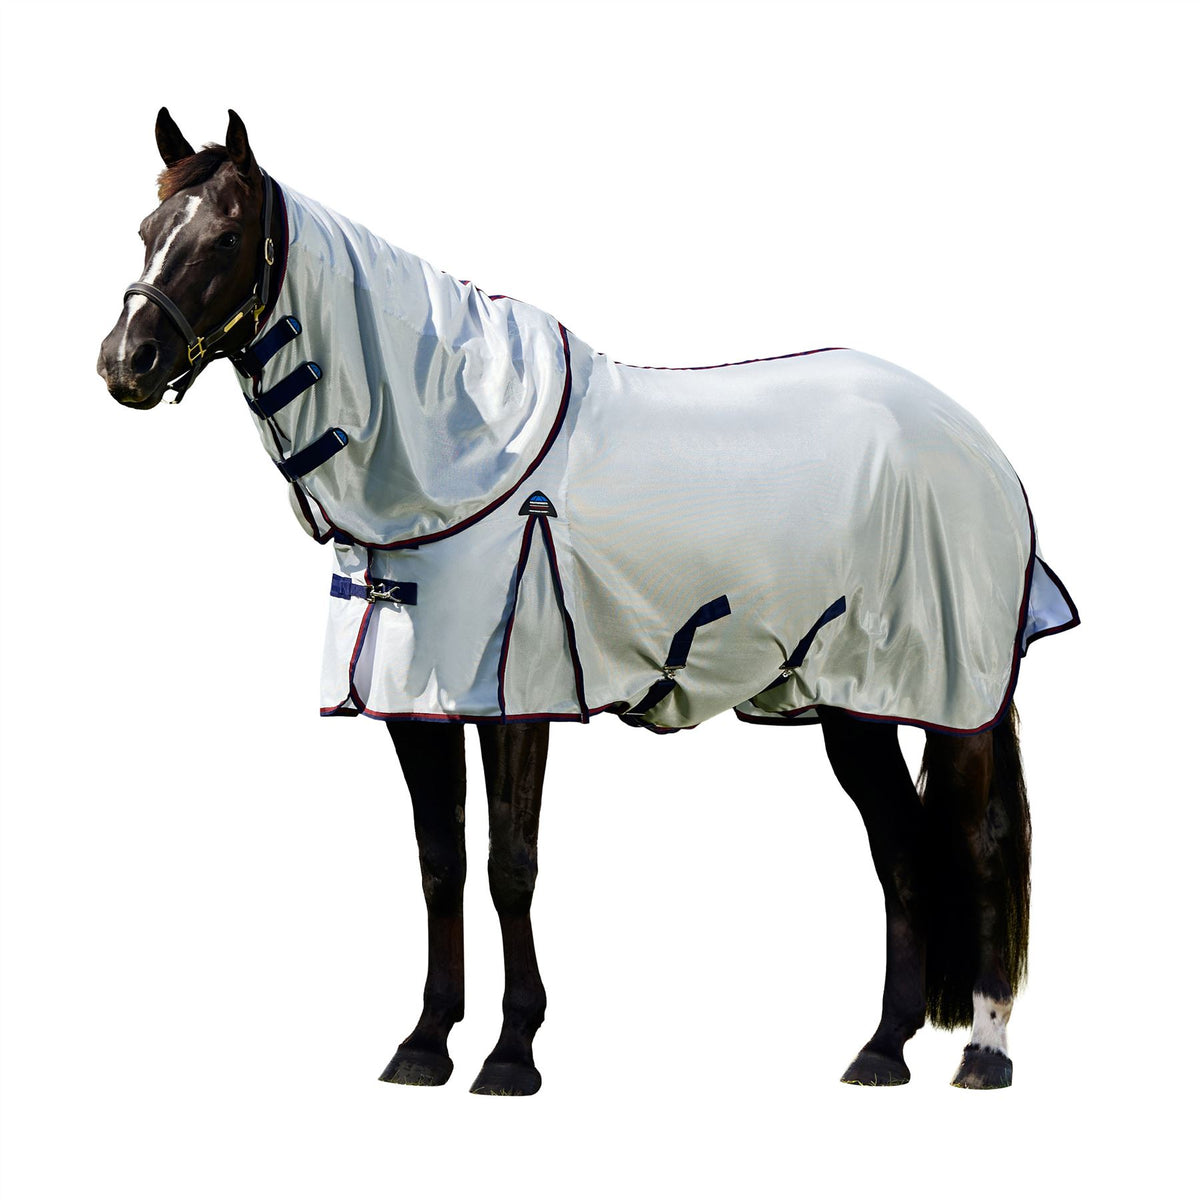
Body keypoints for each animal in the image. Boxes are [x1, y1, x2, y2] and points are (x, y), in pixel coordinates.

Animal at [97, 108, 1079, 1094]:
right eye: (147, 232)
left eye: (224, 238)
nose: (124, 362)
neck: (453, 446)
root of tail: (979, 445)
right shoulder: (413, 702)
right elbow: (440, 863)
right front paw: (425, 1043)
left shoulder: (518, 697)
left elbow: (510, 866)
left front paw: (511, 1053)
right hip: (850, 699)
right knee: (901, 850)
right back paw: (882, 1049)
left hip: (950, 693)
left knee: (978, 845)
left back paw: (984, 1054)